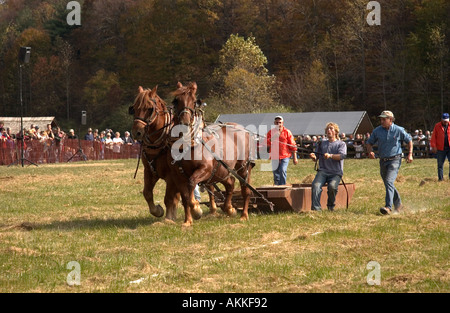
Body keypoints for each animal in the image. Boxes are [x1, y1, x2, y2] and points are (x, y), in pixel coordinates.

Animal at [129, 85, 201, 222]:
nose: (137, 132)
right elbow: (147, 193)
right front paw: (158, 211)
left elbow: (169, 198)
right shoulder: (149, 171)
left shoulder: (171, 175)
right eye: (134, 108)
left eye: (149, 108)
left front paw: (169, 218)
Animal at [169, 81, 255, 224]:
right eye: (176, 100)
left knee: (245, 189)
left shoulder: (205, 169)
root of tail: (242, 128)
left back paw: (244, 214)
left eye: (194, 101)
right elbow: (185, 197)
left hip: (242, 167)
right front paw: (188, 221)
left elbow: (191, 183)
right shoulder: (179, 176)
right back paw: (229, 208)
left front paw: (196, 209)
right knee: (230, 183)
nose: (185, 123)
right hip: (222, 170)